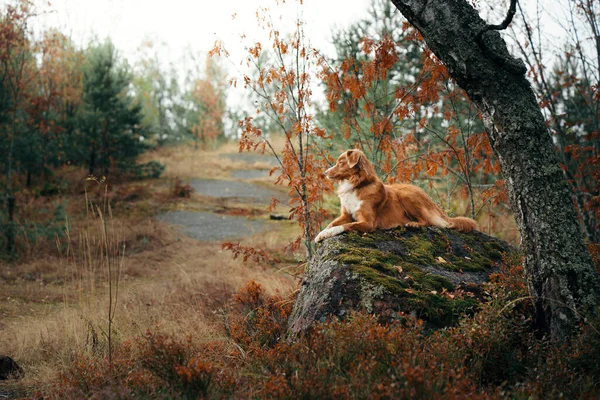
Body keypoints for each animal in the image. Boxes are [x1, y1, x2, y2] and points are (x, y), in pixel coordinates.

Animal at [314, 150, 478, 244]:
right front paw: (321, 234)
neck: (357, 185)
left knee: (428, 221)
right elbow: (331, 224)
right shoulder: (346, 214)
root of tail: (430, 201)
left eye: (341, 163)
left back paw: (413, 224)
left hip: (407, 196)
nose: (325, 173)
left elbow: (345, 226)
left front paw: (327, 233)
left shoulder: (368, 222)